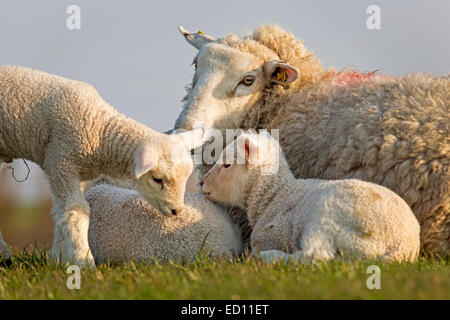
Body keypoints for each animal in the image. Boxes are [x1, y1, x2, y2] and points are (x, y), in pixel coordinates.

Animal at [0, 65, 207, 268]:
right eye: (157, 179)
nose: (176, 211)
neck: (100, 130)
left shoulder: (76, 172)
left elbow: (61, 212)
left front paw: (59, 258)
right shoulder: (61, 162)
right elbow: (76, 210)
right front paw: (83, 262)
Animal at [200, 132, 422, 262]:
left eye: (227, 165)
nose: (201, 182)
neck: (273, 196)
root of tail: (402, 245)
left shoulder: (273, 234)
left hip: (328, 218)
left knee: (316, 256)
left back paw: (270, 257)